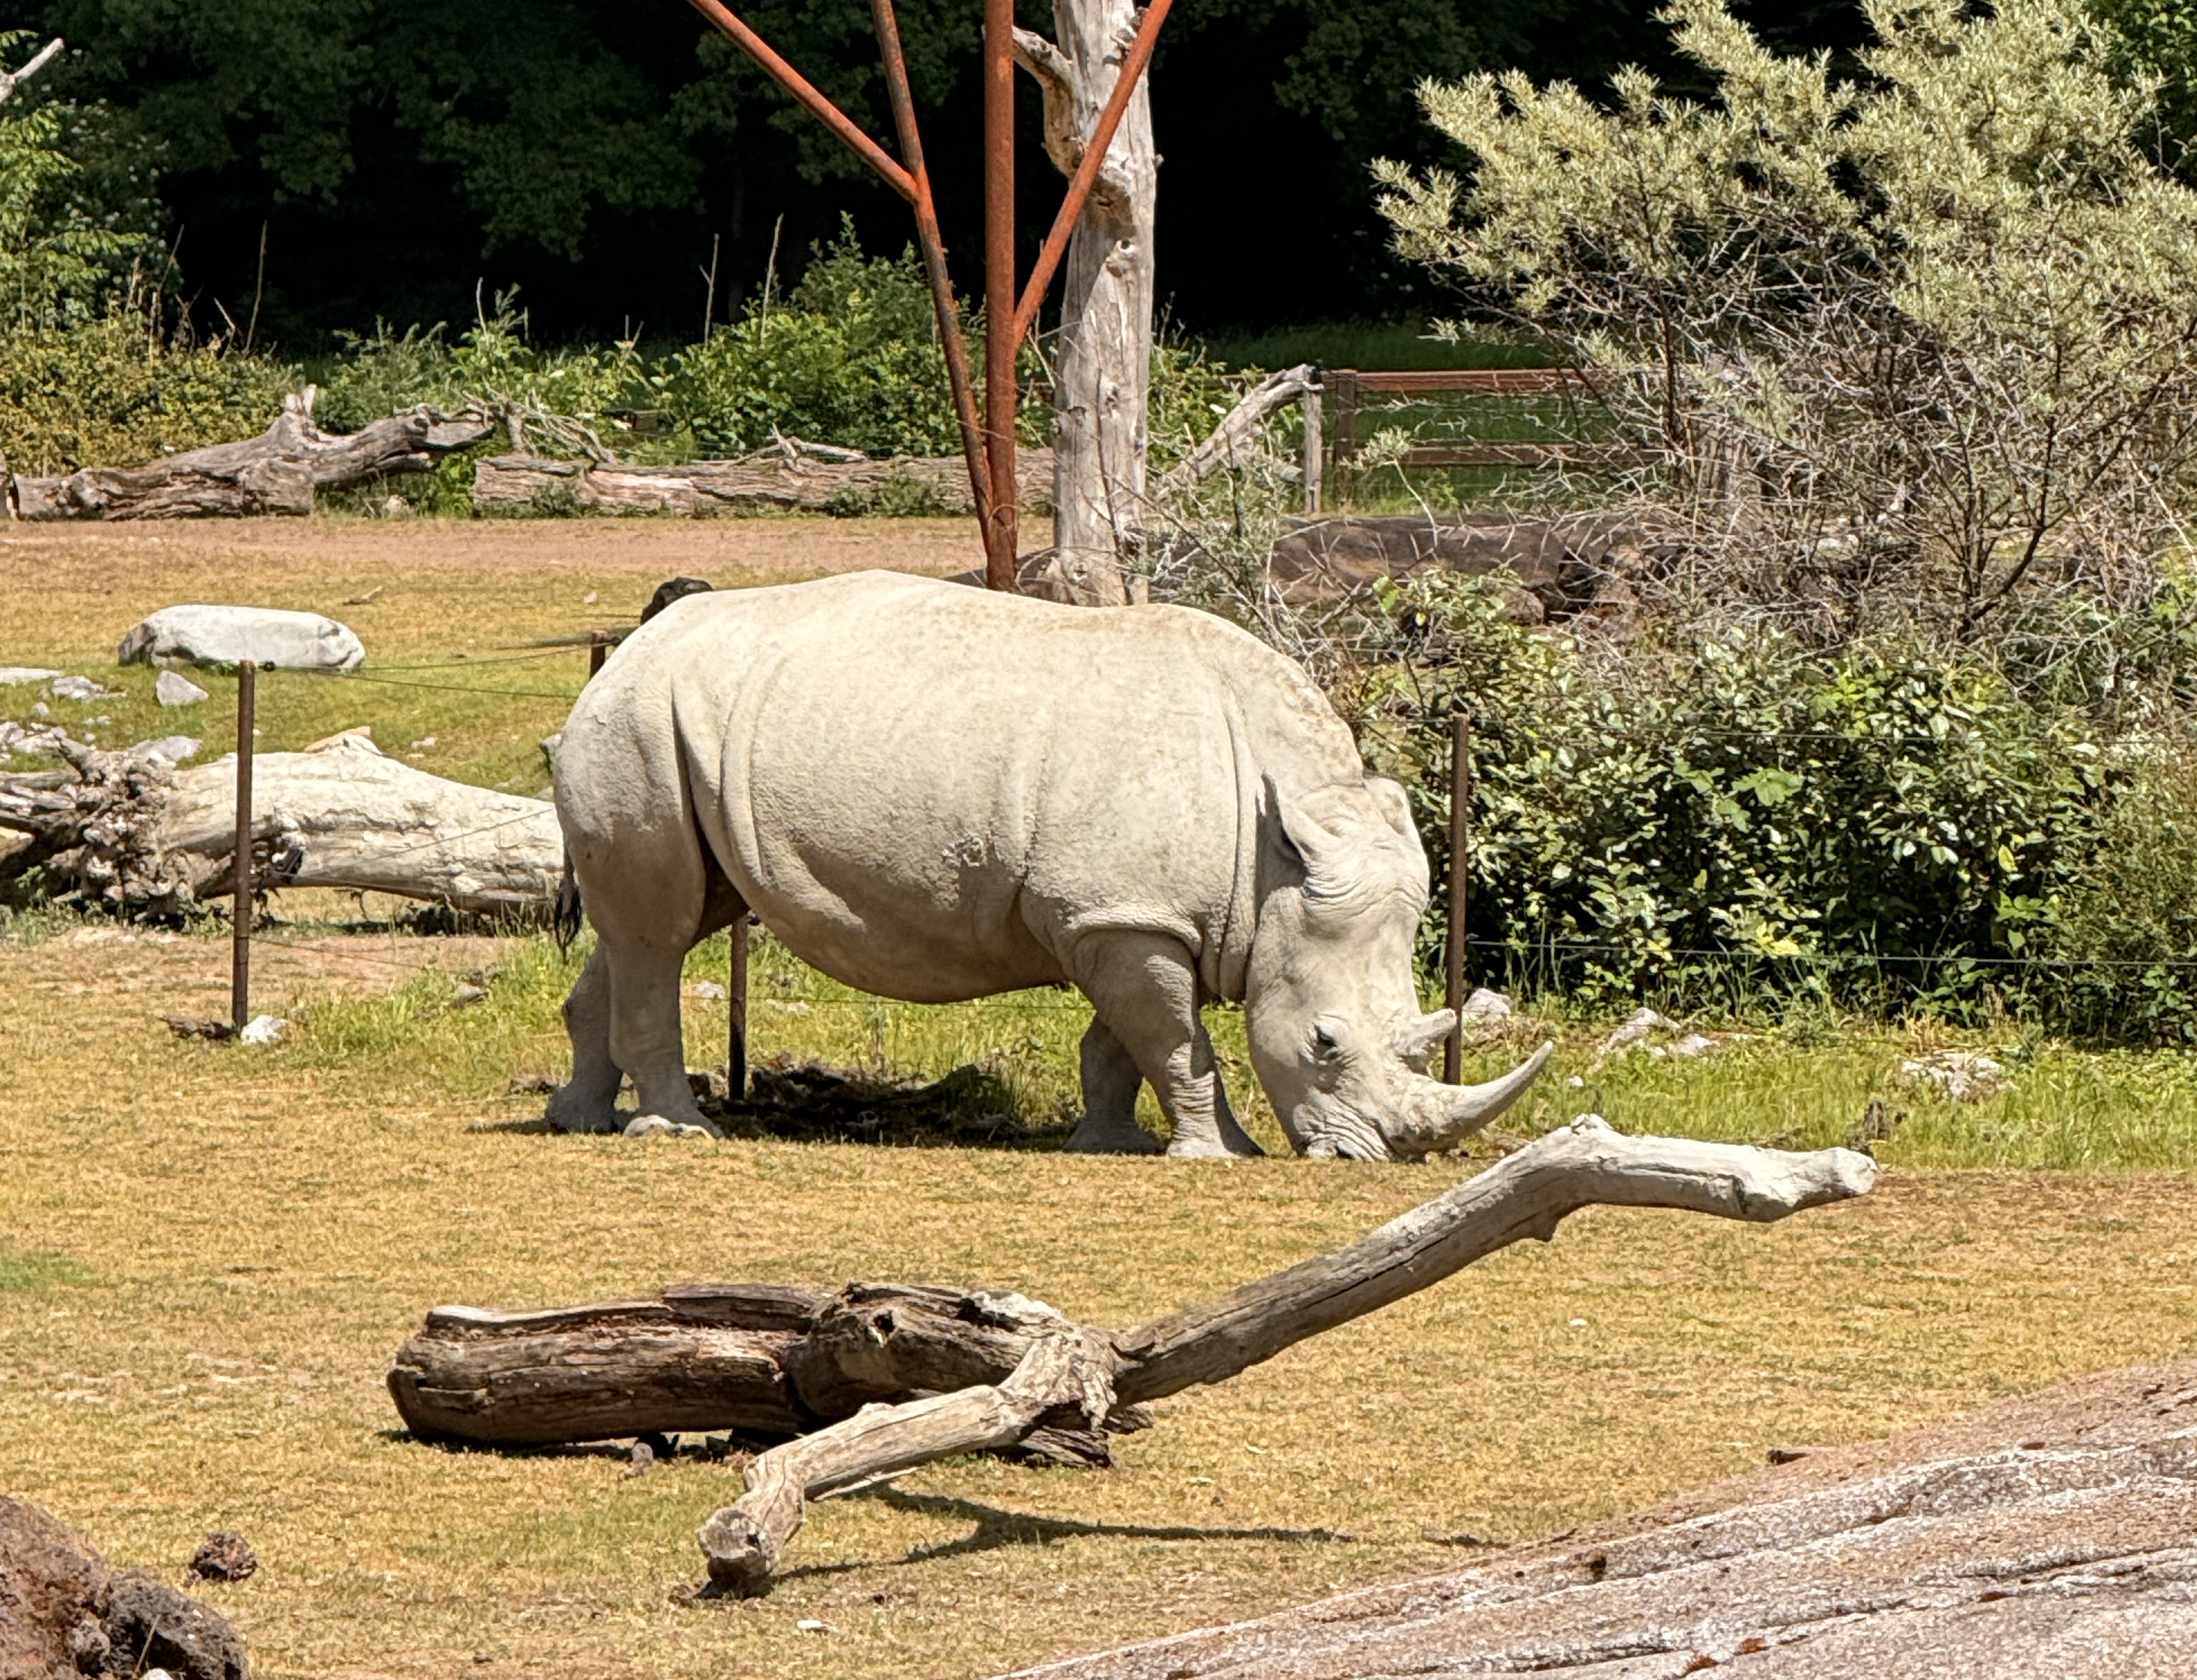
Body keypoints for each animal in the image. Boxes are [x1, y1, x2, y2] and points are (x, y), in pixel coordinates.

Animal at [548, 571, 1549, 1159]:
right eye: (1324, 1044)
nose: (1365, 1156)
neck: (1274, 851)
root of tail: (619, 655)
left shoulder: (1118, 912)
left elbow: (1127, 1040)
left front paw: (1109, 1145)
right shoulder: (1123, 913)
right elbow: (1175, 1041)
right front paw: (1225, 1153)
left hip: (678, 731)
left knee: (666, 920)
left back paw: (578, 1120)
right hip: (637, 724)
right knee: (660, 930)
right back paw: (679, 1134)